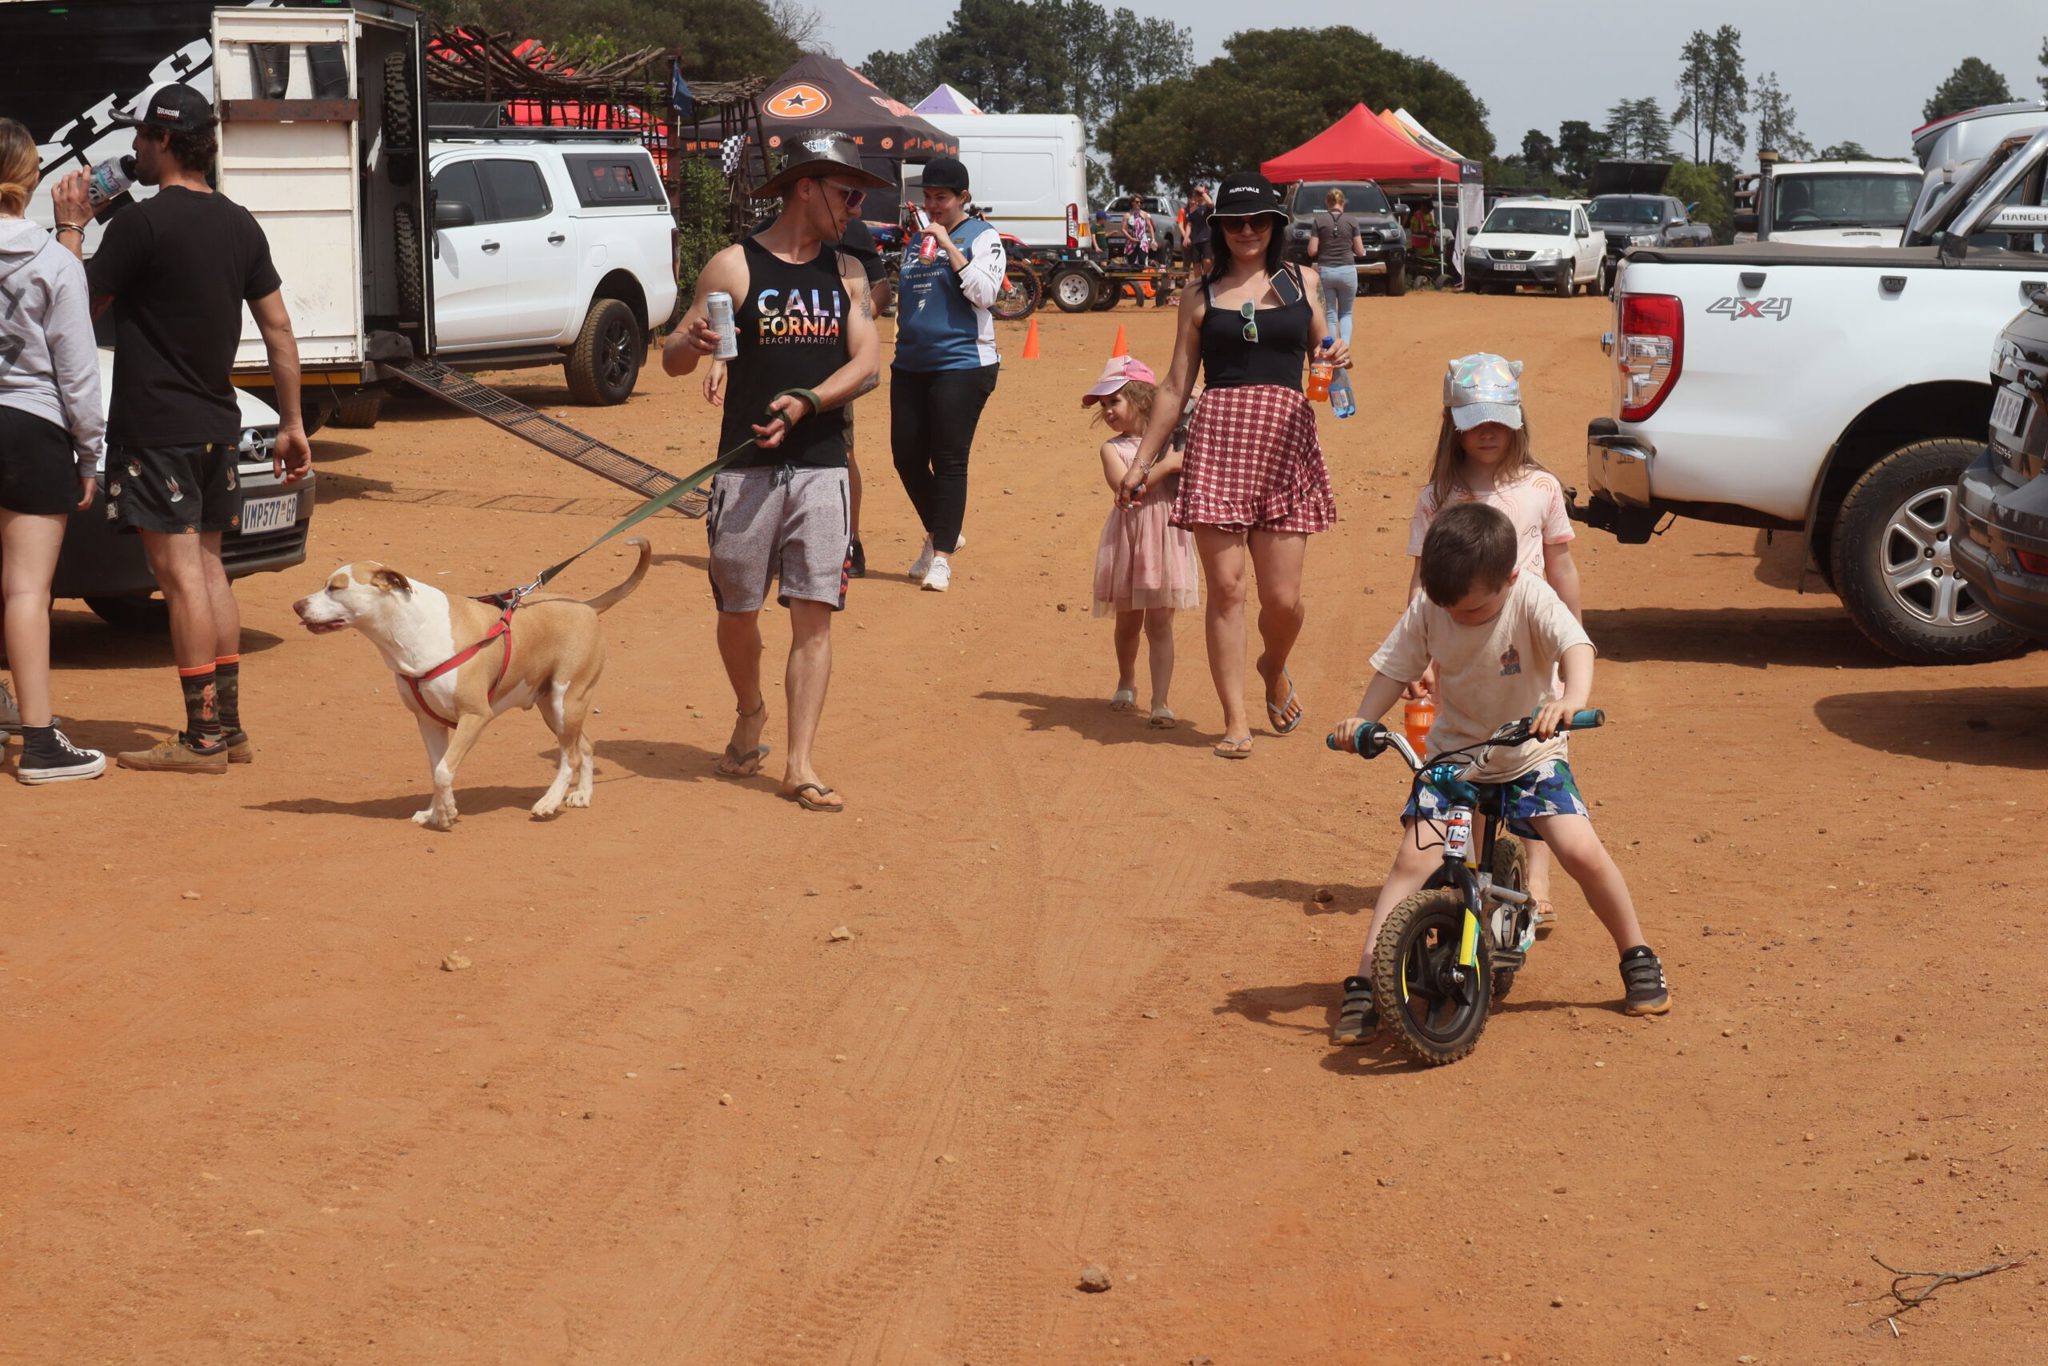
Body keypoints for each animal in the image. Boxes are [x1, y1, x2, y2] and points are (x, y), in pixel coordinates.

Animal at [293, 539, 650, 830]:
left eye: (336, 587)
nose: (297, 605)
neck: (414, 630)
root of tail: (586, 606)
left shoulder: (475, 715)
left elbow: (443, 771)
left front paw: (446, 814)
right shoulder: (427, 721)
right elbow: (437, 769)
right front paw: (436, 812)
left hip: (568, 699)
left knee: (571, 756)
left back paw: (548, 802)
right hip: (552, 705)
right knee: (584, 745)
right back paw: (582, 794)